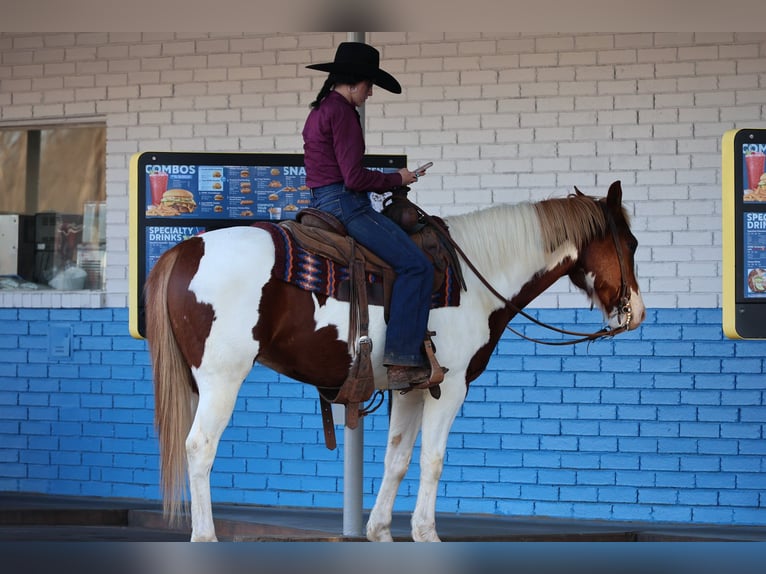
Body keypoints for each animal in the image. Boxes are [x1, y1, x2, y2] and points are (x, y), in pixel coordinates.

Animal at [144, 180, 645, 542]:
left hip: (196, 382)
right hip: (222, 378)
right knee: (199, 448)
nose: (635, 312)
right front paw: (426, 533)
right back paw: (205, 537)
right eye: (632, 244)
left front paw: (381, 531)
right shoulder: (452, 386)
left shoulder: (412, 387)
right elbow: (433, 460)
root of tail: (183, 249)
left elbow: (397, 459)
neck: (476, 278)